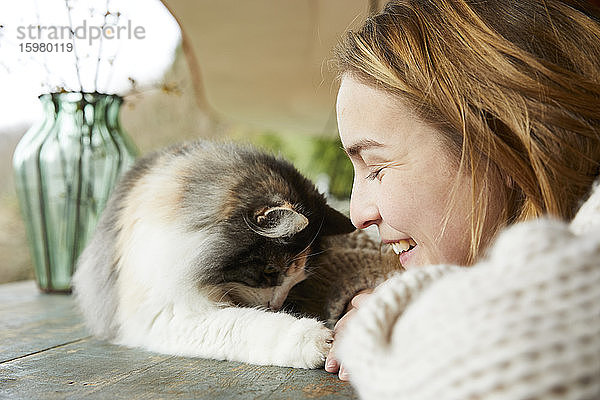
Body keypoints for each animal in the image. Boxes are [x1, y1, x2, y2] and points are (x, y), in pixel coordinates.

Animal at [72, 140, 398, 368]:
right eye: (269, 272)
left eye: (296, 282)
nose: (277, 305)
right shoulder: (166, 312)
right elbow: (242, 324)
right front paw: (314, 340)